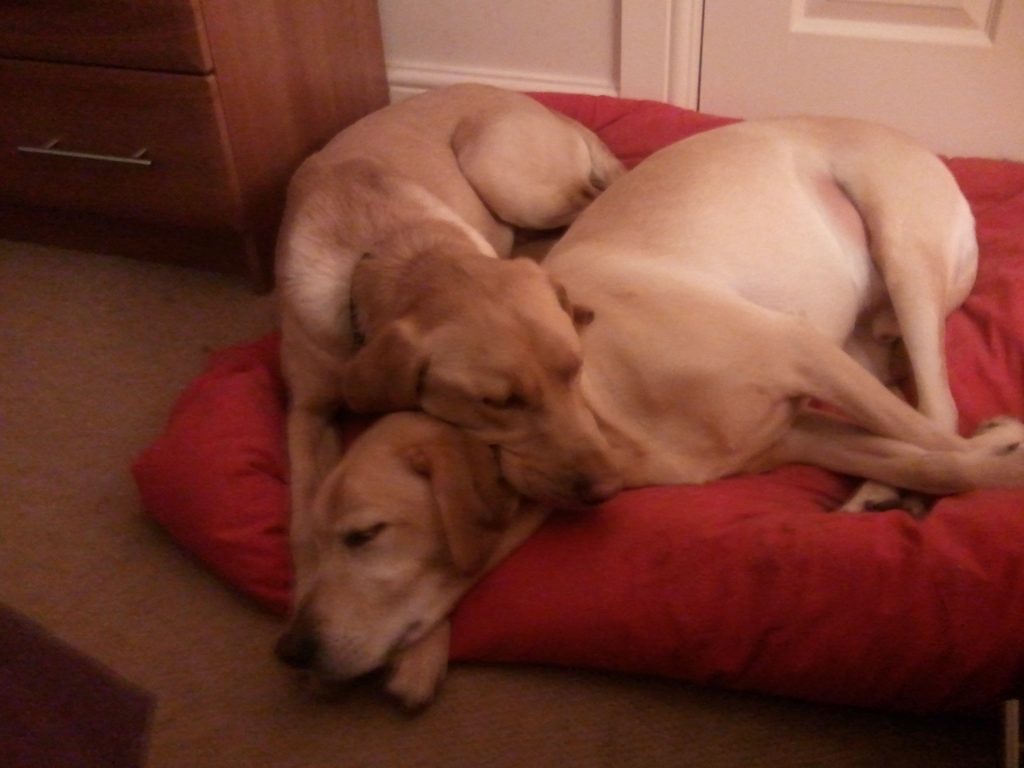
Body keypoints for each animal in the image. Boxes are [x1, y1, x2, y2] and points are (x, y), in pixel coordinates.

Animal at [274, 83, 622, 581]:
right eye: (497, 403)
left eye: (576, 369)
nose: (609, 489)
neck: (393, 250)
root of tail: (542, 104)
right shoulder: (306, 409)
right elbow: (303, 514)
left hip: (497, 169)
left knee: (591, 196)